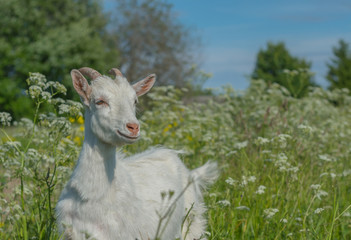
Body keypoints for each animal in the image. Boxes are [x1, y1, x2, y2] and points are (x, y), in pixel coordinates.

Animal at [56, 67, 219, 240]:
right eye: (100, 101)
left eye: (134, 101)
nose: (133, 127)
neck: (92, 195)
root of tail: (191, 174)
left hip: (192, 223)